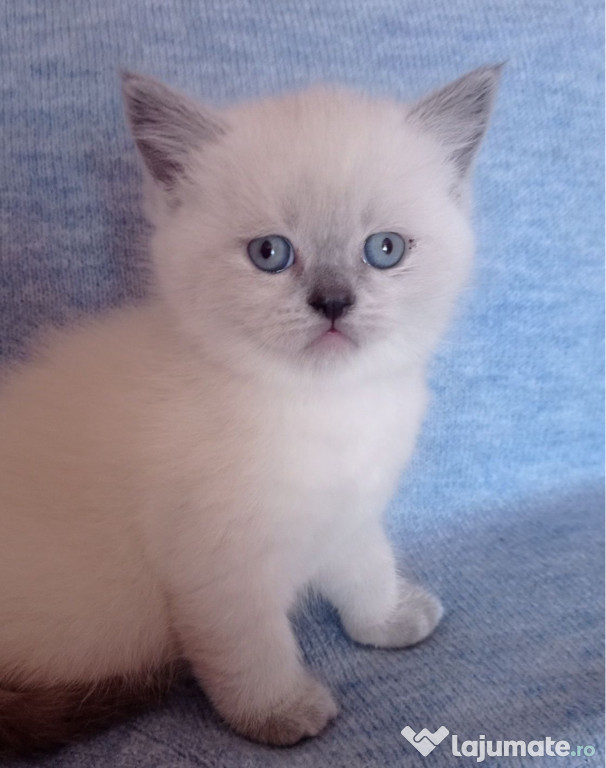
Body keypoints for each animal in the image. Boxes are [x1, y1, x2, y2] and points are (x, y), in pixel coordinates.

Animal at [0, 64, 502, 752]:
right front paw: (280, 714)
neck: (326, 407)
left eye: (385, 250)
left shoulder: (349, 509)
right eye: (270, 253)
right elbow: (251, 648)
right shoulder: (218, 566)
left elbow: (367, 564)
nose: (333, 301)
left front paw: (388, 618)